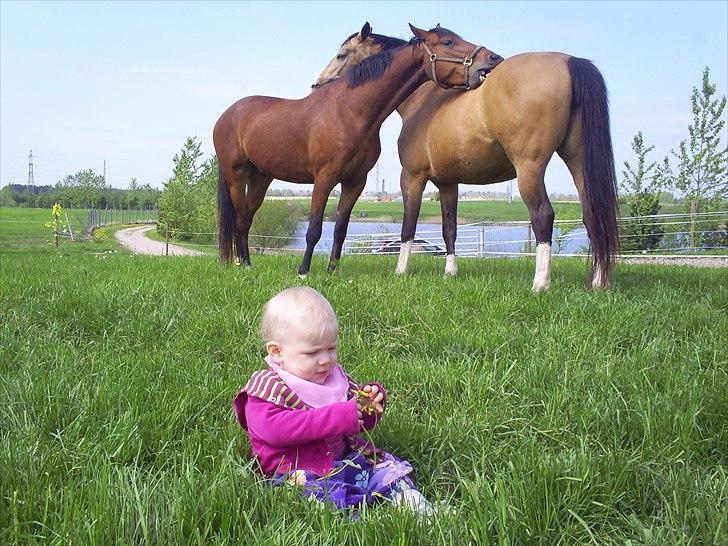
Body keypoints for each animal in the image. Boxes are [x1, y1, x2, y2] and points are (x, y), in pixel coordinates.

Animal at [213, 24, 504, 276]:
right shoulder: (324, 178)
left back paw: (247, 262)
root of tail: (228, 114)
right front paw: (304, 271)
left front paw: (332, 270)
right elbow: (315, 228)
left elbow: (340, 228)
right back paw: (241, 264)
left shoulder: (355, 181)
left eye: (342, 54)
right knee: (239, 218)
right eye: (447, 42)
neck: (350, 112)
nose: (493, 58)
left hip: (261, 178)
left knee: (247, 218)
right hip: (236, 176)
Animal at [314, 25, 620, 288]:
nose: (318, 84)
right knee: (592, 214)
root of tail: (569, 61)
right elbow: (449, 227)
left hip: (530, 167)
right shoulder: (448, 182)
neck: (425, 100)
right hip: (577, 160)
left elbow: (408, 225)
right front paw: (450, 272)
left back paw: (540, 284)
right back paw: (598, 282)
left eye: (342, 54)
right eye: (449, 41)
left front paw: (401, 270)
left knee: (543, 214)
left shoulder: (411, 177)